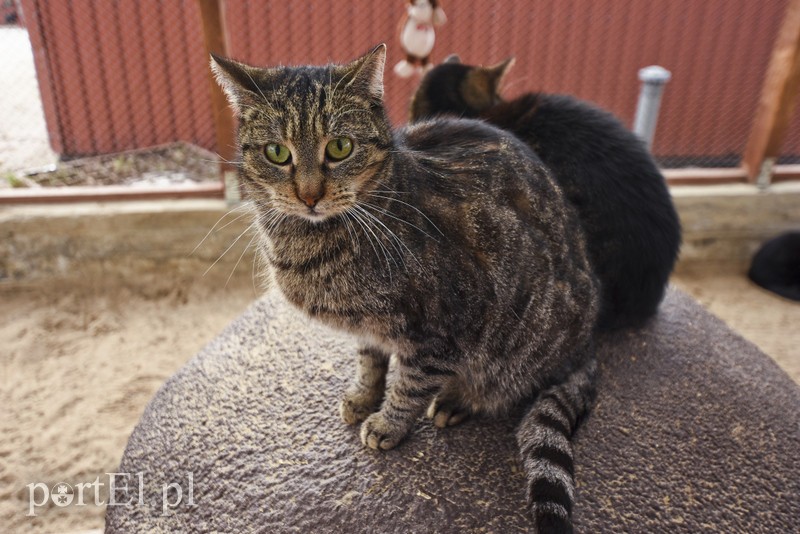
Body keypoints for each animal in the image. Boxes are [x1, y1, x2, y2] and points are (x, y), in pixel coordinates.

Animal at [212, 45, 600, 532]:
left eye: (339, 147)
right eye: (276, 152)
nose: (309, 196)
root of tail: (587, 346)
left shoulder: (442, 328)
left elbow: (409, 386)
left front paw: (387, 425)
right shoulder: (368, 327)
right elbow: (370, 361)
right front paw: (364, 397)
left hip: (523, 337)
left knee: (503, 383)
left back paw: (458, 398)